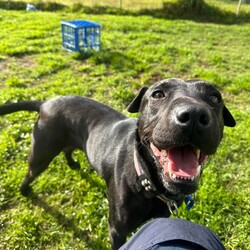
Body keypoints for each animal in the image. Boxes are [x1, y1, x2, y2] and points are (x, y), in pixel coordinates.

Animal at [0, 78, 235, 248]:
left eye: (214, 98)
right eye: (157, 94)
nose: (194, 114)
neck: (146, 180)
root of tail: (45, 103)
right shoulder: (117, 231)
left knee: (68, 149)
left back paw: (73, 164)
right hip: (42, 152)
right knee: (30, 172)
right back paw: (24, 191)